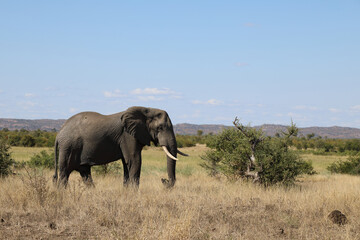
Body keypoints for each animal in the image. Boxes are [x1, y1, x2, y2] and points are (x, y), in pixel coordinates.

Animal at [53, 106, 188, 188]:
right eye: (160, 128)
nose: (164, 180)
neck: (147, 109)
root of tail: (58, 134)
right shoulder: (127, 135)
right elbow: (134, 160)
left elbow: (126, 163)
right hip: (68, 147)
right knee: (65, 172)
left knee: (85, 173)